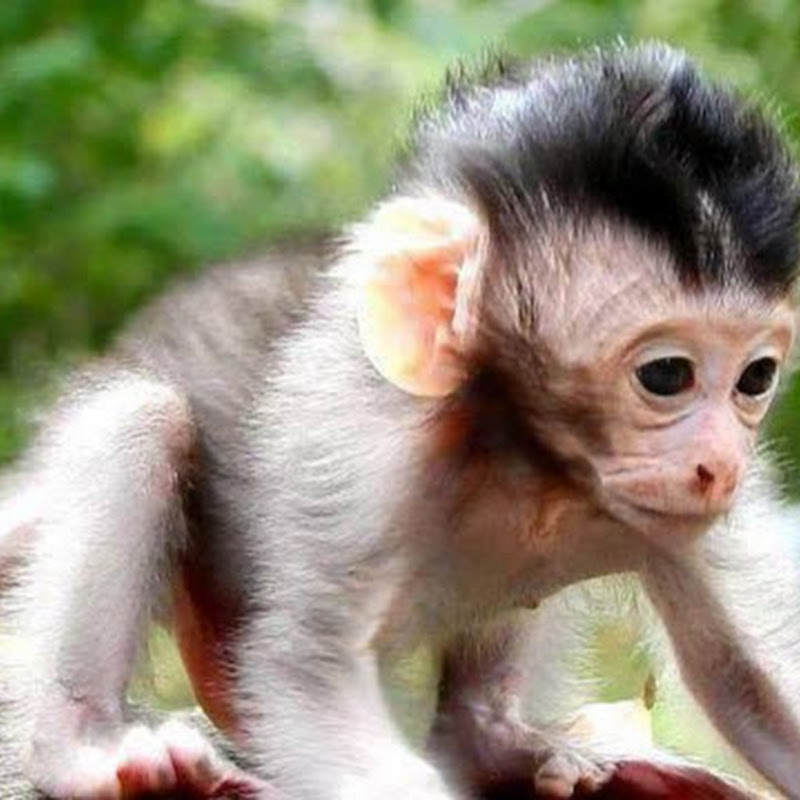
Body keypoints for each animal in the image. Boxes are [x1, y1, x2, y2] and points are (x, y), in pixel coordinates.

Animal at [2, 39, 800, 799]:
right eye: (666, 375)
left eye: (756, 378)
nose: (719, 465)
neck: (529, 459)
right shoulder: (362, 446)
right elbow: (309, 667)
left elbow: (746, 684)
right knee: (141, 417)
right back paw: (82, 746)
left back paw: (495, 742)